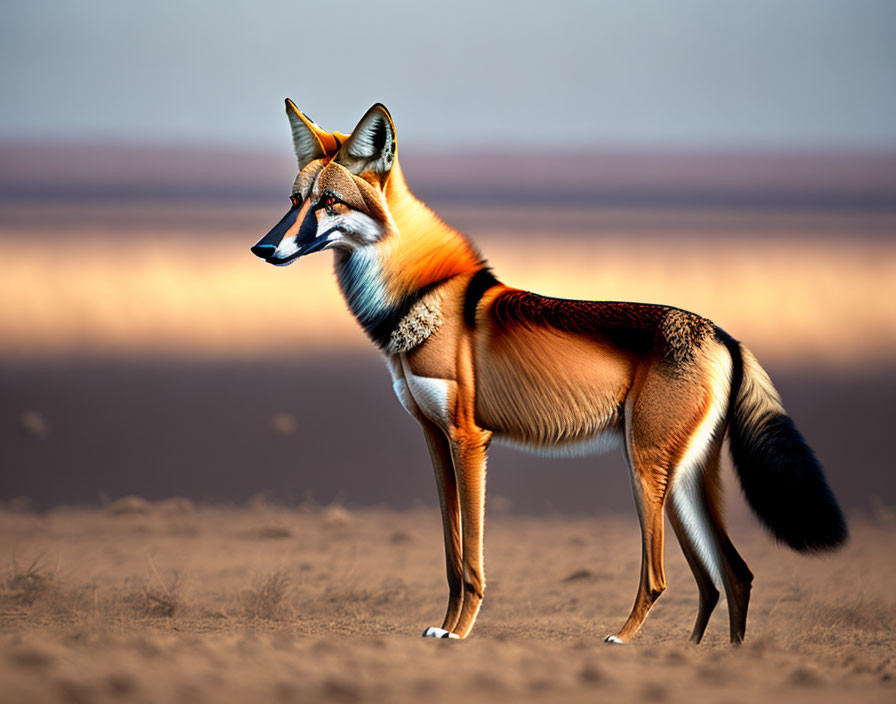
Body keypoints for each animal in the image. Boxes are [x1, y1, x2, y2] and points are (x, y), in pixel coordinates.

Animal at [250, 100, 848, 644]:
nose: (262, 247)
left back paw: (624, 640)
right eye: (294, 201)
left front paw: (459, 634)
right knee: (729, 575)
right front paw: (444, 626)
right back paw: (707, 655)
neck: (417, 298)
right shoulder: (433, 439)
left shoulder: (469, 439)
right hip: (683, 484)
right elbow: (450, 558)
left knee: (667, 577)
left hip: (647, 472)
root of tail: (724, 334)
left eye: (329, 202)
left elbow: (471, 562)